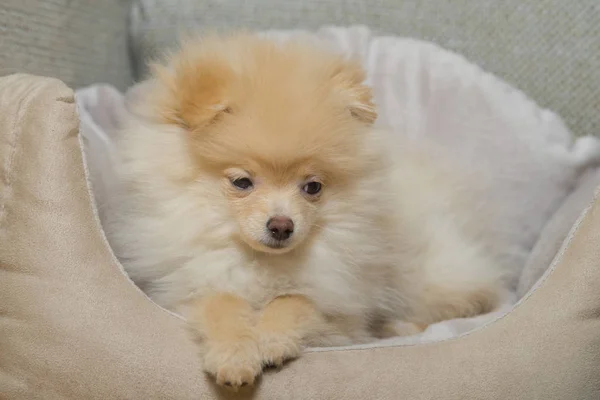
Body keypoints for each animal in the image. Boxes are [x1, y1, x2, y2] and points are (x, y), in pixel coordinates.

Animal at [106, 32, 506, 390]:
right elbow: (221, 302)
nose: (282, 225)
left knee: (468, 299)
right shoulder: (184, 291)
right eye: (242, 182)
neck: (262, 263)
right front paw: (235, 355)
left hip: (428, 277)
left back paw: (398, 326)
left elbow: (296, 301)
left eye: (312, 187)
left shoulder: (343, 316)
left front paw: (271, 338)